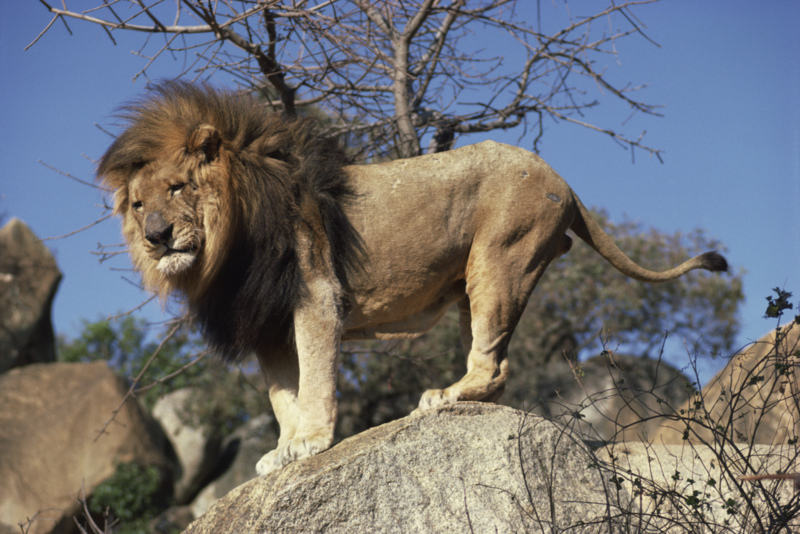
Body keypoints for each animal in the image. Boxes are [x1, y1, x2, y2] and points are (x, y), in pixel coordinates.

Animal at [97, 82, 728, 476]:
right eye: (137, 203)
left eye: (177, 187)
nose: (156, 236)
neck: (226, 247)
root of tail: (564, 181)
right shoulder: (266, 325)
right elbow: (281, 396)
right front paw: (284, 449)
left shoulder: (316, 297)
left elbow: (315, 381)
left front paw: (312, 442)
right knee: (496, 370)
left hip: (501, 258)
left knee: (492, 363)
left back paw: (443, 396)